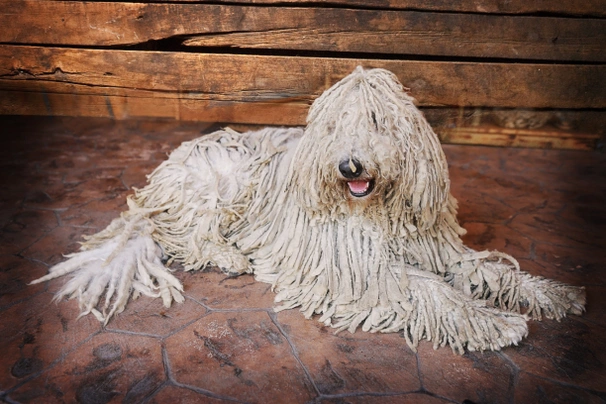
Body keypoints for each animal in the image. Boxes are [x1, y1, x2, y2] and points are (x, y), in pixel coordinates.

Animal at [30, 66, 588, 354]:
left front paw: (553, 295)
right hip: (220, 181)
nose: (349, 165)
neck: (378, 210)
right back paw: (228, 256)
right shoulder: (367, 269)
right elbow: (433, 292)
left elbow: (492, 271)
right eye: (335, 125)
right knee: (181, 234)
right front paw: (496, 324)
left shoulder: (439, 249)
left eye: (378, 122)